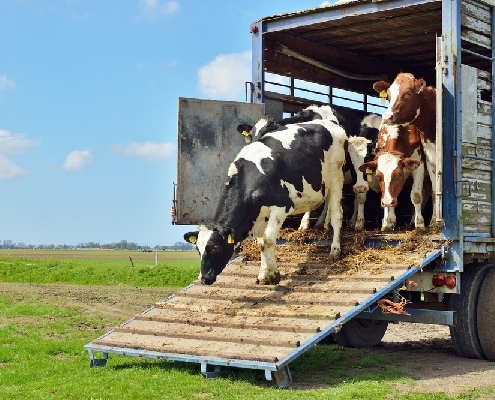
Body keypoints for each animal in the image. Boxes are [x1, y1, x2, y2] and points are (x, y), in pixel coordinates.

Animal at [372, 71, 438, 222]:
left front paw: (421, 223)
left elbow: (416, 195)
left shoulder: (420, 163)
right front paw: (388, 221)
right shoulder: (430, 160)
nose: (387, 117)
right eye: (388, 95)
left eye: (408, 93)